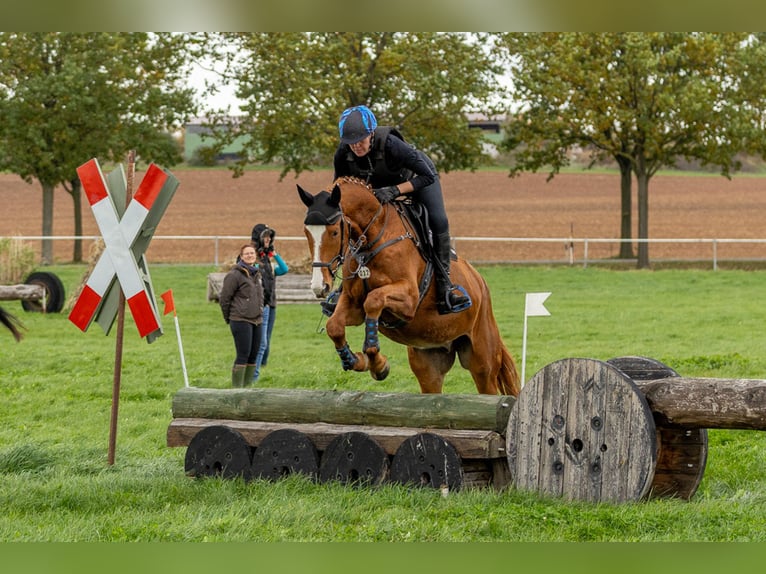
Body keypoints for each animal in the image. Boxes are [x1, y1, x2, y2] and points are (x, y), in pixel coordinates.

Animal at [297, 176, 520, 396]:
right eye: (306, 232)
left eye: (335, 232)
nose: (320, 286)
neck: (374, 238)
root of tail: (479, 280)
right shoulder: (353, 303)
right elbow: (334, 326)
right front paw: (357, 360)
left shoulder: (409, 300)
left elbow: (374, 300)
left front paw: (377, 363)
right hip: (429, 361)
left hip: (482, 359)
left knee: (487, 384)